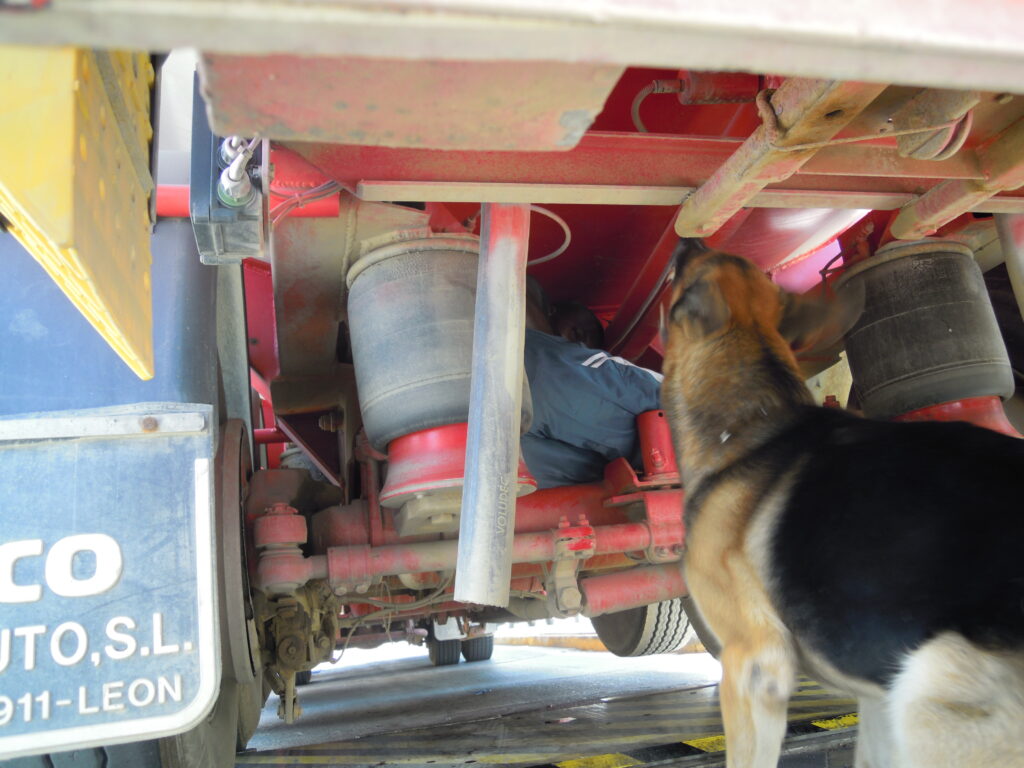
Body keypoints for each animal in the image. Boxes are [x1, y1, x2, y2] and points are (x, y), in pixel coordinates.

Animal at [655, 237, 1024, 765]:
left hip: (930, 686)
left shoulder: (753, 666)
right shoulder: (875, 700)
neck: (750, 427)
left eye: (688, 264)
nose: (687, 239)